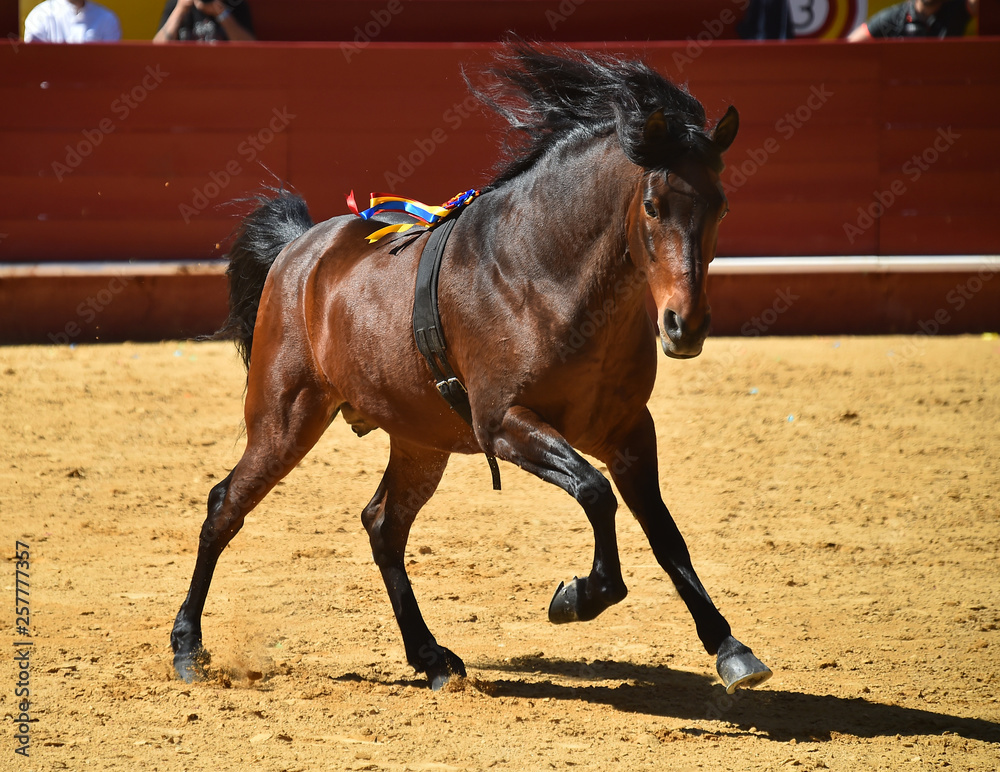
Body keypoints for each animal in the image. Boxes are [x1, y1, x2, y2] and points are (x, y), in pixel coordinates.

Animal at [172, 40, 772, 692]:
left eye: (722, 205)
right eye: (654, 207)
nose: (685, 326)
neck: (546, 274)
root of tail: (301, 250)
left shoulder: (631, 430)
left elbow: (666, 535)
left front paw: (730, 648)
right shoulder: (504, 424)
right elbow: (594, 492)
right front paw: (576, 597)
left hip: (419, 440)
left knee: (383, 526)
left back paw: (432, 657)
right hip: (284, 420)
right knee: (224, 507)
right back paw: (187, 648)